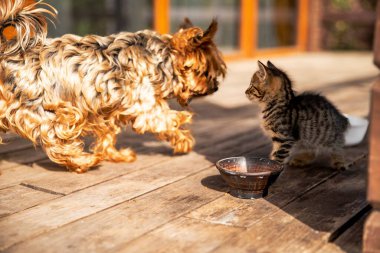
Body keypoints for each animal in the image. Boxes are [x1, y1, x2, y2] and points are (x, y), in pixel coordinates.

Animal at [0, 0, 226, 172]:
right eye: (207, 74)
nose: (215, 87)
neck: (161, 56)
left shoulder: (106, 110)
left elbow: (108, 135)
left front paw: (117, 154)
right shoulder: (144, 106)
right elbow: (164, 119)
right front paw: (182, 127)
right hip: (53, 111)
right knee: (57, 142)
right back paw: (84, 161)